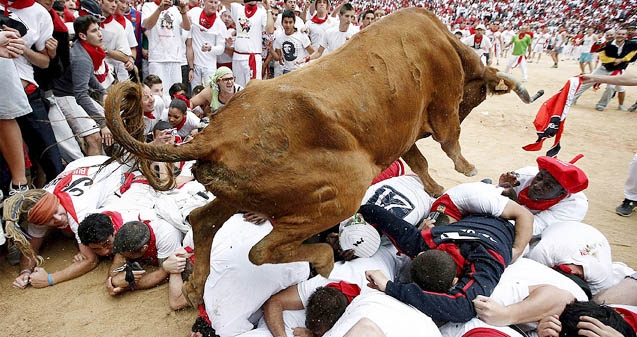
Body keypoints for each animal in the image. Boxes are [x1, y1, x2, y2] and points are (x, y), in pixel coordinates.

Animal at [105, 7, 540, 304]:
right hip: (342, 189)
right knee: (263, 250)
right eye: (480, 94)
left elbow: (419, 160)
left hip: (236, 195)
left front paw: (435, 188)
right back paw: (324, 259)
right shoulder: (443, 105)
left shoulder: (402, 134)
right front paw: (466, 167)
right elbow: (449, 139)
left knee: (202, 220)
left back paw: (196, 288)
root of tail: (213, 134)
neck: (444, 43)